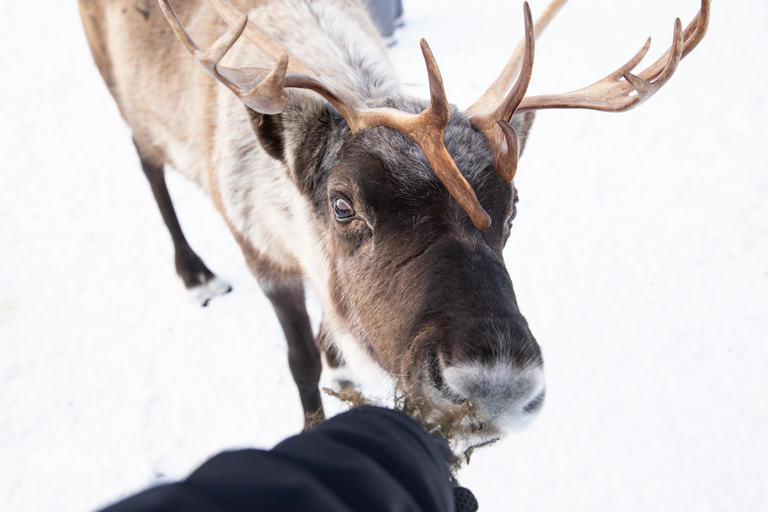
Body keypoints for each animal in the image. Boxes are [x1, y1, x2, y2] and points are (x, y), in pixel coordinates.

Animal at [78, 0, 709, 432]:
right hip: (120, 88)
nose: (498, 386)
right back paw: (194, 274)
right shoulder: (261, 250)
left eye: (513, 209)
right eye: (342, 204)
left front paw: (341, 361)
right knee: (147, 161)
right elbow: (300, 363)